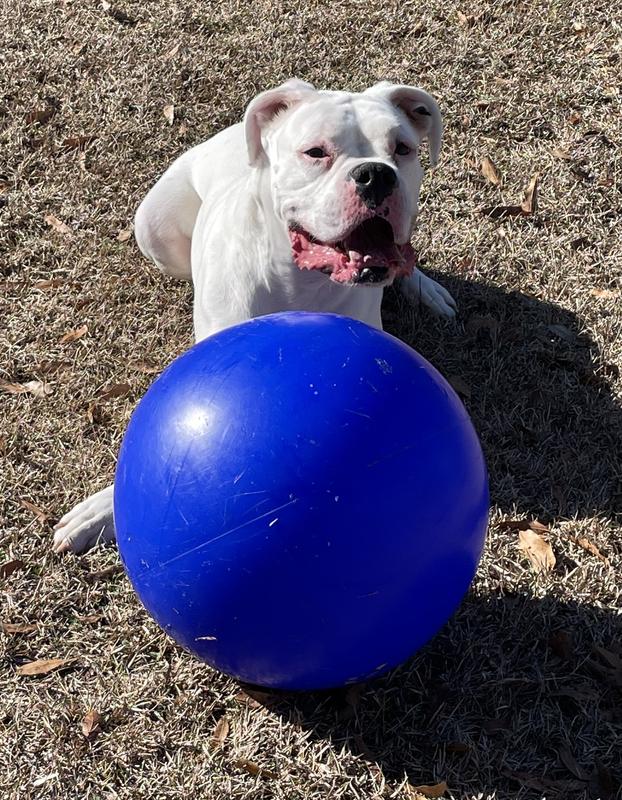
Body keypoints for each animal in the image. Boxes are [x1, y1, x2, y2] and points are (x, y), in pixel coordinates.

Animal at [52, 81, 458, 556]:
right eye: (315, 152)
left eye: (402, 149)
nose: (376, 174)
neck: (303, 284)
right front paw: (102, 509)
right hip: (150, 226)